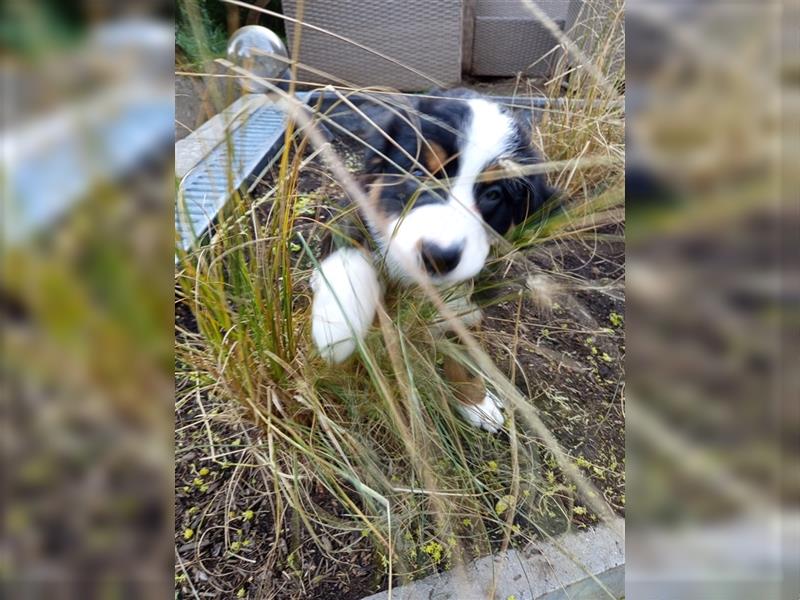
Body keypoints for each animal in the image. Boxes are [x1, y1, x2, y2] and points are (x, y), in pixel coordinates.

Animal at [310, 88, 556, 432]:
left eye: (493, 194)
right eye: (417, 173)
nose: (438, 257)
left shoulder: (466, 299)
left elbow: (463, 355)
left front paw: (475, 402)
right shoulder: (354, 209)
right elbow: (350, 258)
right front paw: (337, 326)